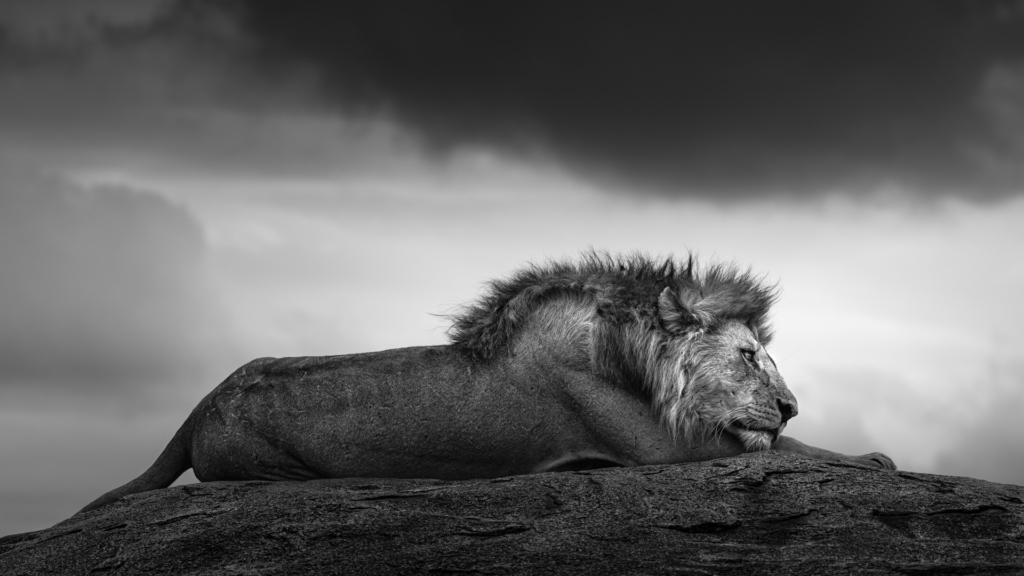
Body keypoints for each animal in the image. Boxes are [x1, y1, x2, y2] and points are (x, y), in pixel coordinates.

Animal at [79, 252, 892, 510]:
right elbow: (794, 452)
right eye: (751, 356)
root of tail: (201, 401)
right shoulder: (660, 450)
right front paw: (872, 456)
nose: (790, 404)